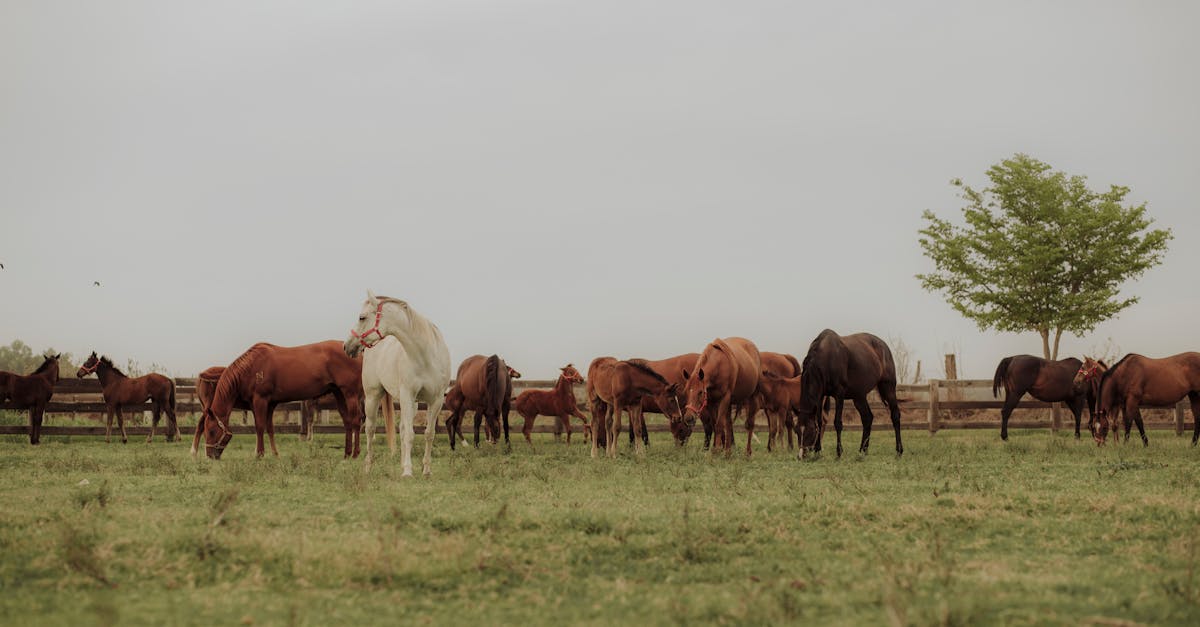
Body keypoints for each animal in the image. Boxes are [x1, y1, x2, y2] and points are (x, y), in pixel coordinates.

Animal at [201, 341, 364, 459]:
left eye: (211, 431)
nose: (209, 456)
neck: (251, 368)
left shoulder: (260, 400)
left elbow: (259, 427)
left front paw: (259, 454)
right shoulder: (268, 404)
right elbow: (270, 428)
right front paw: (275, 454)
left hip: (350, 394)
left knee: (356, 421)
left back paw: (355, 454)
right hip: (339, 394)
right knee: (347, 422)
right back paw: (346, 453)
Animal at [345, 291, 451, 477]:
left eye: (361, 317)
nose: (347, 346)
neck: (426, 357)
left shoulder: (436, 400)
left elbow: (429, 434)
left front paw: (426, 470)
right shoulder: (407, 395)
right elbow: (409, 434)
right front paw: (408, 471)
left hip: (411, 403)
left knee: (401, 429)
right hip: (373, 397)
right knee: (370, 429)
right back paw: (368, 466)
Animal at [795, 330, 903, 459]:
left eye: (810, 431)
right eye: (796, 430)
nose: (801, 456)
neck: (826, 358)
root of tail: (884, 346)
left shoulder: (839, 395)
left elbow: (837, 423)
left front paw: (839, 452)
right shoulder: (820, 396)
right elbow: (820, 421)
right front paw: (817, 450)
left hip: (888, 388)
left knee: (895, 415)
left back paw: (899, 451)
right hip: (859, 396)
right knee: (867, 418)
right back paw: (863, 450)